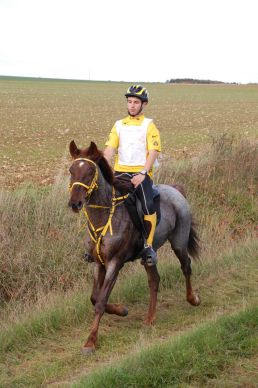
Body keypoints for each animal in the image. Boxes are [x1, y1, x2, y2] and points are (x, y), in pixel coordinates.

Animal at [67, 140, 201, 354]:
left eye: (89, 171)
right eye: (71, 170)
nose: (75, 203)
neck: (104, 217)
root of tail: (176, 190)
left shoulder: (115, 263)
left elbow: (101, 301)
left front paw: (90, 341)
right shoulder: (98, 263)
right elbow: (95, 298)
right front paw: (121, 310)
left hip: (179, 242)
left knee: (186, 266)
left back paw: (192, 299)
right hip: (149, 257)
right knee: (154, 280)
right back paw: (149, 318)